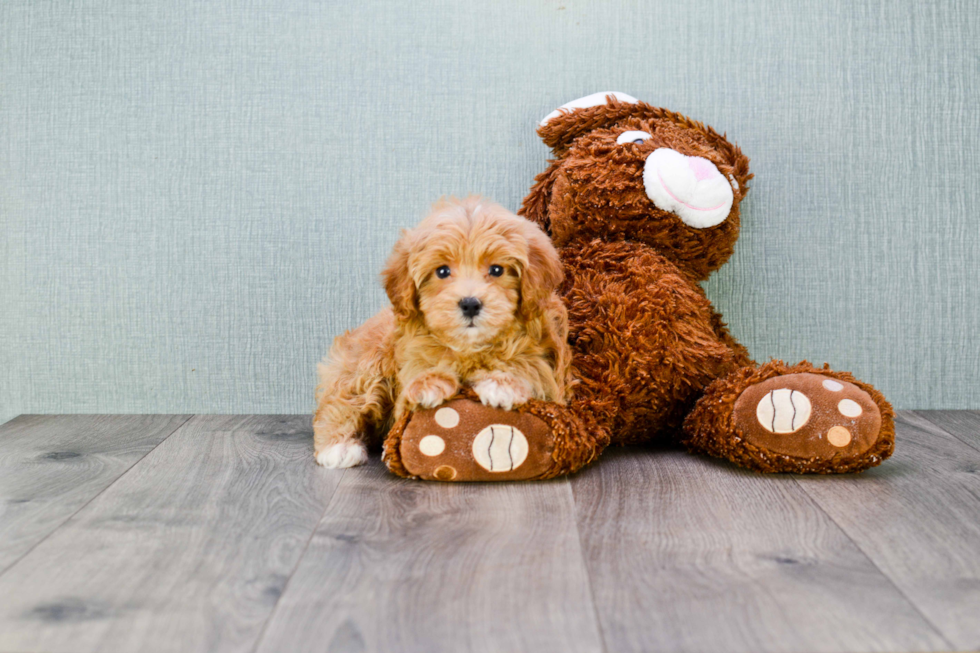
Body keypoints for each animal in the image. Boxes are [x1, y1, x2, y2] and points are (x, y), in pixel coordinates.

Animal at [314, 196, 576, 466]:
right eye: (442, 271)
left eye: (497, 270)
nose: (470, 304)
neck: (469, 348)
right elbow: (419, 372)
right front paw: (429, 382)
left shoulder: (549, 372)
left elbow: (528, 369)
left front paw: (501, 383)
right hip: (368, 362)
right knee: (343, 401)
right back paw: (338, 446)